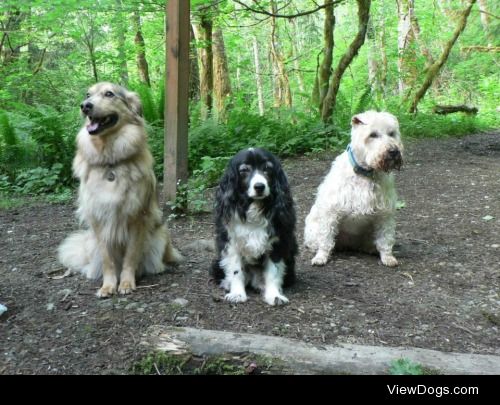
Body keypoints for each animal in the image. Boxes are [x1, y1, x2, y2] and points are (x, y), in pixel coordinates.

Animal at [58, 82, 183, 296]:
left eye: (109, 94)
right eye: (88, 94)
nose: (85, 106)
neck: (110, 162)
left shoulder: (137, 218)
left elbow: (131, 257)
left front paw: (125, 283)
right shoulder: (99, 221)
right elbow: (108, 260)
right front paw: (108, 286)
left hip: (160, 235)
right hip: (91, 243)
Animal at [211, 147, 296, 304]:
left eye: (267, 168)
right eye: (244, 170)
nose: (259, 186)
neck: (254, 207)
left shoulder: (277, 243)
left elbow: (273, 271)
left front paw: (274, 295)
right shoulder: (231, 242)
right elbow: (236, 270)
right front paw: (237, 294)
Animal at [302, 110, 404, 266]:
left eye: (392, 133)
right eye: (373, 135)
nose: (393, 151)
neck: (365, 173)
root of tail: (349, 244)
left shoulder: (384, 214)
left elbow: (385, 238)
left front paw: (388, 257)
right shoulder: (331, 212)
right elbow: (326, 239)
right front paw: (321, 257)